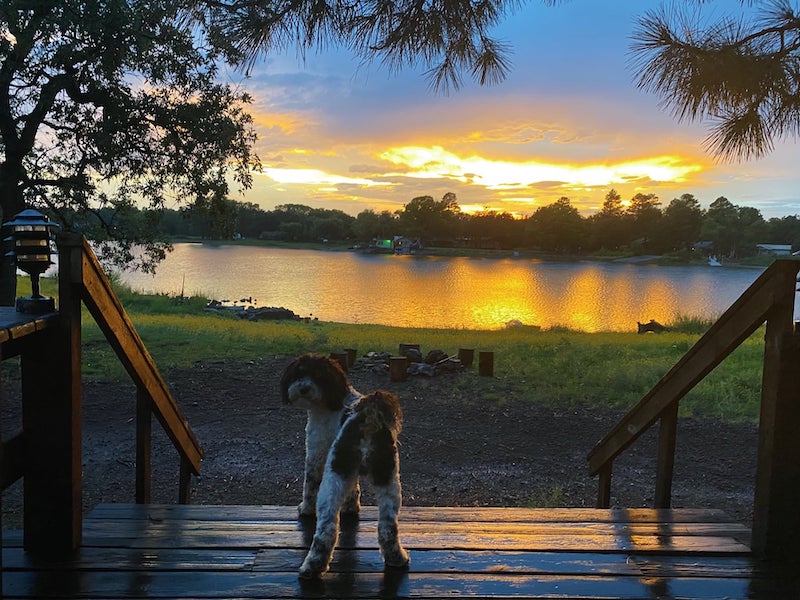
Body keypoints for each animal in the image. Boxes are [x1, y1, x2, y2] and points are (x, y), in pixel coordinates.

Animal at [280, 354, 410, 580]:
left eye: (318, 376)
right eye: (299, 373)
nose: (303, 388)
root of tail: (368, 419)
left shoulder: (316, 452)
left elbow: (309, 485)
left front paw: (305, 509)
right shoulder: (351, 472)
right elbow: (353, 489)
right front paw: (351, 508)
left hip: (333, 478)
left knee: (327, 529)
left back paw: (312, 566)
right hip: (388, 480)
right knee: (388, 527)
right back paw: (396, 558)